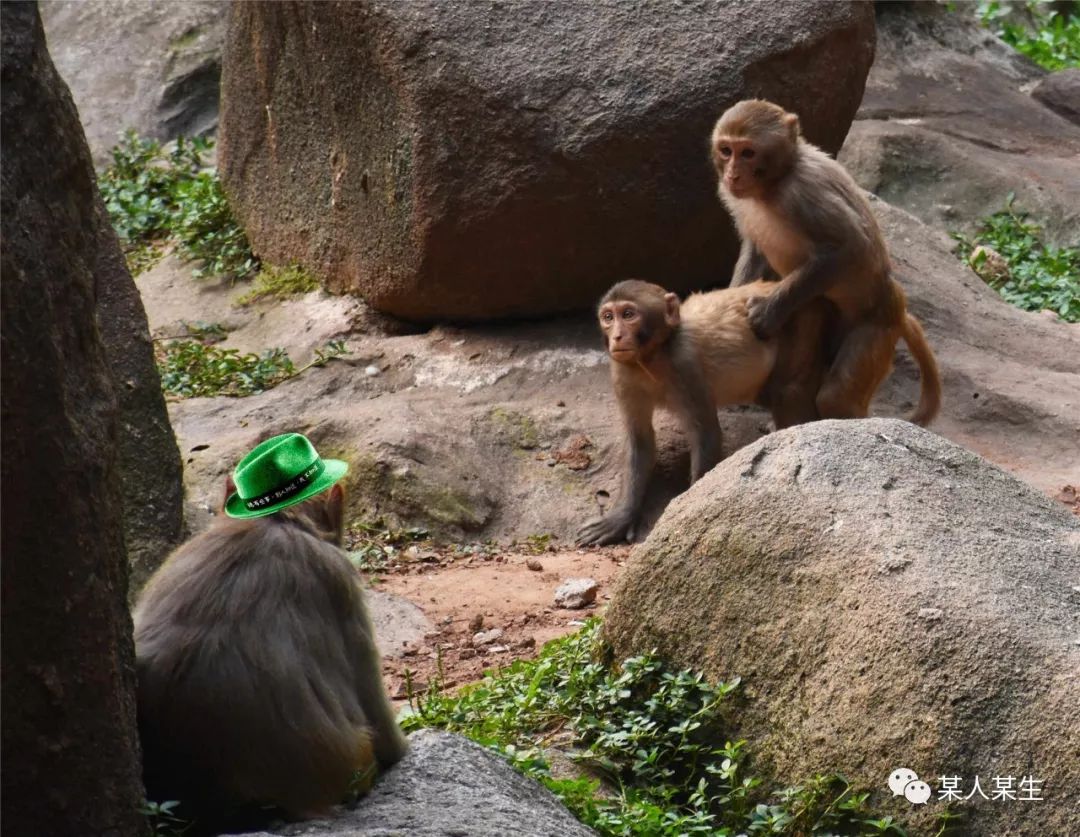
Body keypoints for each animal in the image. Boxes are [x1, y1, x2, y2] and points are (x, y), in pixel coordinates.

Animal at [578, 278, 829, 546]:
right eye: (608, 317)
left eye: (628, 314)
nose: (616, 336)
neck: (654, 356)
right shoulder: (622, 373)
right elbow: (640, 440)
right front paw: (620, 518)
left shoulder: (685, 364)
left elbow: (706, 434)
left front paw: (687, 512)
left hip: (800, 319)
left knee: (787, 390)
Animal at [708, 98, 937, 425]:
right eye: (726, 150)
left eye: (748, 153)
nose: (732, 175)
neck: (775, 182)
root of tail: (897, 304)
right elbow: (756, 252)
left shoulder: (803, 193)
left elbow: (850, 247)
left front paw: (766, 312)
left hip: (876, 329)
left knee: (836, 395)